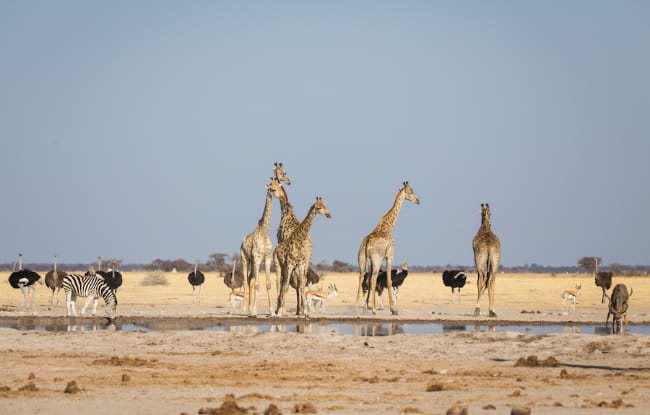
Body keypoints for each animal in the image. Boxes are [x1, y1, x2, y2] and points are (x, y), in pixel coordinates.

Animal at [240, 180, 276, 316]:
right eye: (271, 188)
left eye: (276, 187)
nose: (277, 194)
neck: (265, 231)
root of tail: (242, 241)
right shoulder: (256, 257)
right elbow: (256, 284)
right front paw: (254, 310)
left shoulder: (267, 258)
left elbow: (267, 284)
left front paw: (272, 311)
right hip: (245, 259)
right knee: (246, 281)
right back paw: (245, 309)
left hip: (255, 262)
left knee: (250, 279)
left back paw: (250, 308)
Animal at [354, 182, 420, 316]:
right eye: (411, 191)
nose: (418, 200)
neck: (389, 226)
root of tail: (367, 243)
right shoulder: (389, 256)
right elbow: (389, 281)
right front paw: (394, 309)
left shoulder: (372, 260)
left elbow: (368, 280)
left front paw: (366, 306)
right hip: (377, 258)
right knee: (373, 278)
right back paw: (374, 310)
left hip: (362, 259)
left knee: (362, 277)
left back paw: (356, 308)